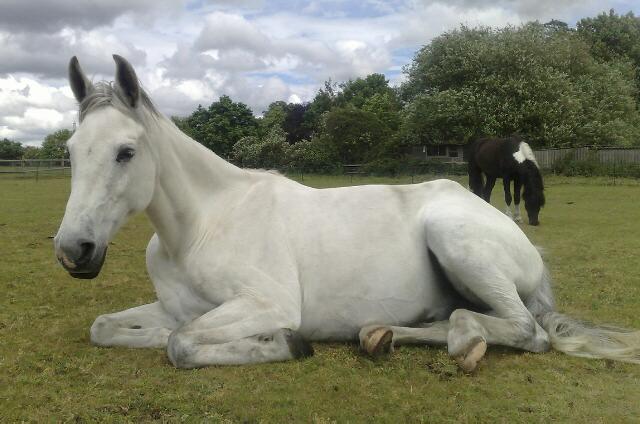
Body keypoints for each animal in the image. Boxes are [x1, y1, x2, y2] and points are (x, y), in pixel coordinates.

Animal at [53, 55, 640, 371]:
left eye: (126, 152)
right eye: (73, 148)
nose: (73, 251)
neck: (202, 227)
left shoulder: (267, 303)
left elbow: (181, 343)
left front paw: (284, 344)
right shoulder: (174, 307)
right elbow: (107, 327)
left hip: (456, 239)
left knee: (524, 330)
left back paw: (463, 341)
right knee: (460, 319)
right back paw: (385, 336)